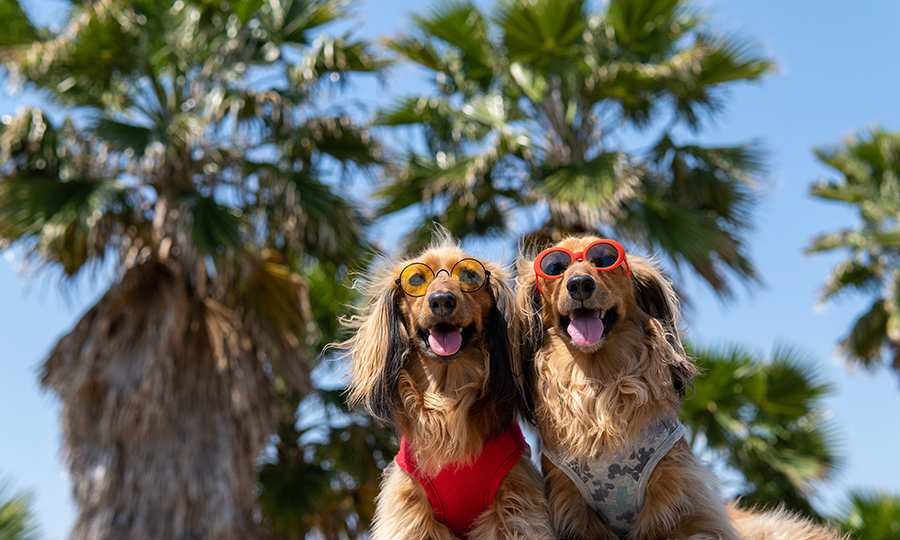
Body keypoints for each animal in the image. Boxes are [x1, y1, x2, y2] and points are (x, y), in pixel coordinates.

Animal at [516, 238, 840, 540]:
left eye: (604, 259)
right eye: (555, 267)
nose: (580, 284)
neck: (600, 381)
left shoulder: (679, 501)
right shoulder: (573, 506)